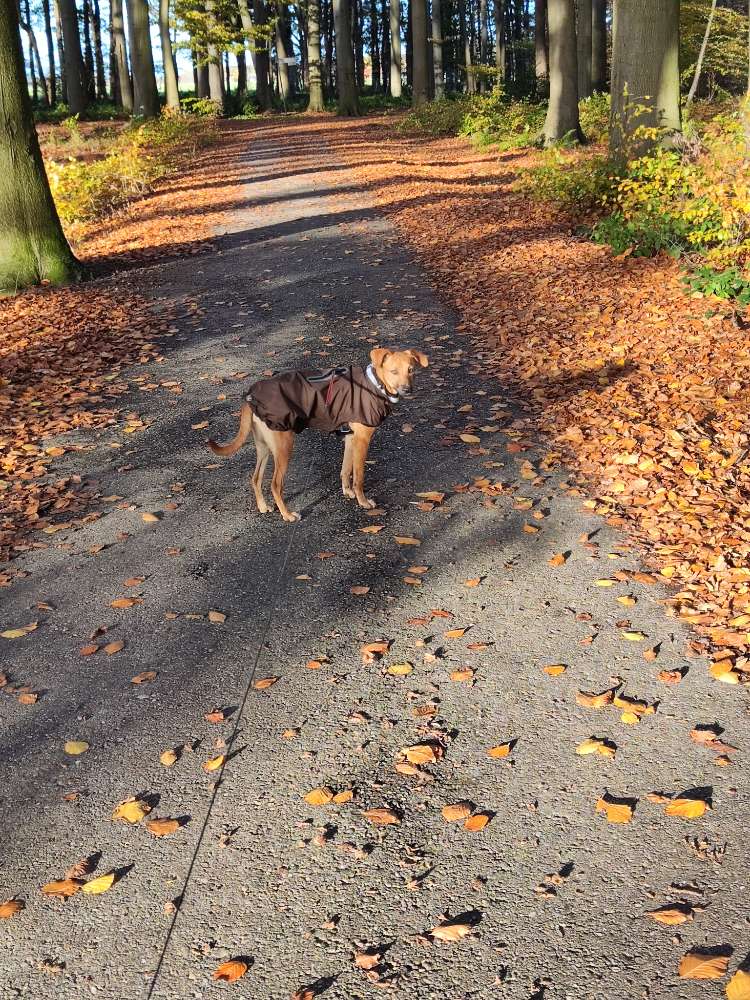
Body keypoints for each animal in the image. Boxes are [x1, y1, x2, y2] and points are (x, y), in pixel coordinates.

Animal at [207, 346, 428, 524]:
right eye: (393, 371)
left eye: (411, 370)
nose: (408, 389)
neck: (375, 384)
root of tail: (250, 398)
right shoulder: (362, 440)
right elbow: (359, 476)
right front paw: (363, 501)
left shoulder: (350, 438)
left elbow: (345, 469)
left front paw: (347, 491)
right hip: (284, 447)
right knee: (275, 485)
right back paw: (287, 515)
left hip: (264, 447)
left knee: (255, 478)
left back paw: (263, 506)